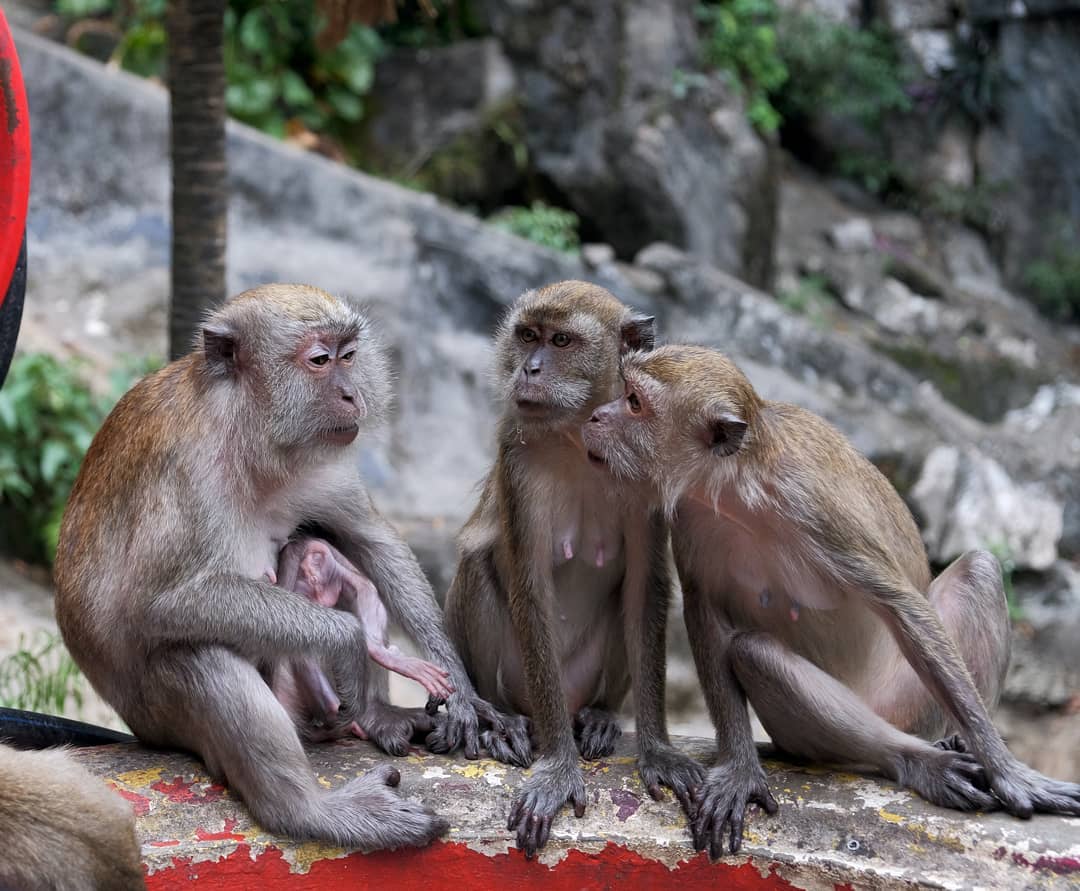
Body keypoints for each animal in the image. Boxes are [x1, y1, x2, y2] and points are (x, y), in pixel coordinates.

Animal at [442, 282, 704, 855]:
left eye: (561, 340)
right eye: (527, 336)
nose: (530, 369)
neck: (581, 440)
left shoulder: (650, 468)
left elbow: (645, 588)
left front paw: (657, 749)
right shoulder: (518, 454)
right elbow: (530, 588)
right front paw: (559, 766)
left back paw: (601, 714)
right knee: (476, 565)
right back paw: (506, 723)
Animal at [583, 343, 1080, 855]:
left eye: (634, 402)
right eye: (625, 392)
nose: (597, 415)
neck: (738, 486)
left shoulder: (813, 505)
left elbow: (902, 607)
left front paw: (1009, 771)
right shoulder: (691, 516)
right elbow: (706, 613)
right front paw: (740, 768)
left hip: (910, 705)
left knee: (977, 571)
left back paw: (947, 747)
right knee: (756, 654)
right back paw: (913, 760)